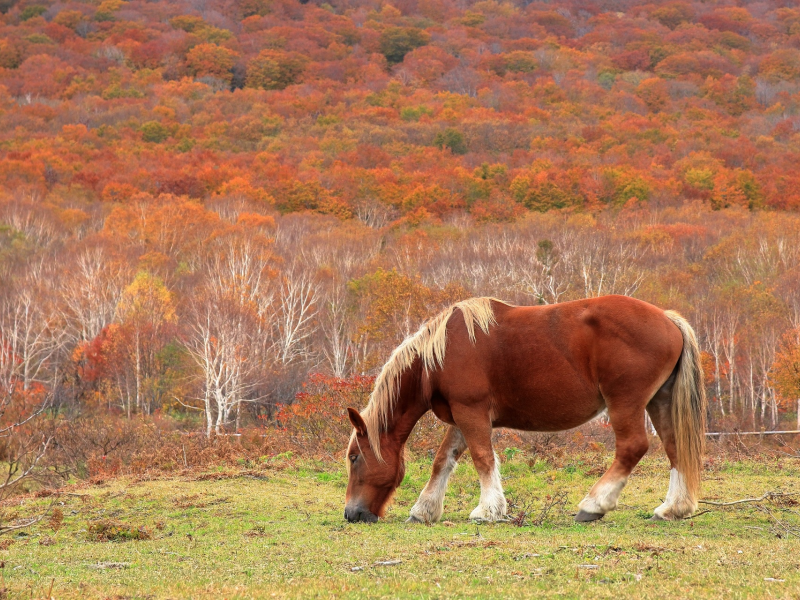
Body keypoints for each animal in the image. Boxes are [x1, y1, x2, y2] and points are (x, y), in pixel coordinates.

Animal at [344, 296, 708, 524]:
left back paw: (593, 505)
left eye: (354, 457)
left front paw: (488, 510)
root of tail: (667, 319)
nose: (351, 514)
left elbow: (483, 459)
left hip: (625, 404)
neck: (440, 354)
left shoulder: (471, 412)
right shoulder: (462, 417)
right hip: (659, 402)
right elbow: (443, 461)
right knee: (675, 448)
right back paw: (673, 508)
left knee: (632, 447)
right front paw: (424, 510)